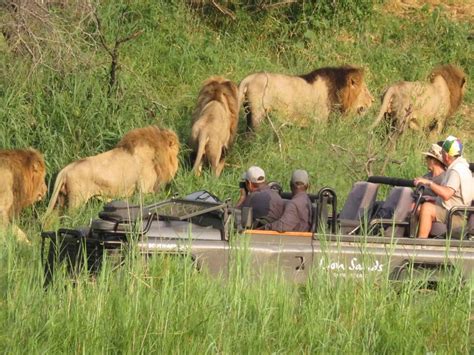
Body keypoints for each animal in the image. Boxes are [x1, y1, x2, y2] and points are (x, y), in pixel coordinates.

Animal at [46, 126, 180, 216]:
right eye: (176, 152)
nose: (178, 160)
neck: (155, 154)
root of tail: (65, 170)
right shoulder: (144, 190)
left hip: (60, 200)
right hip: (76, 200)